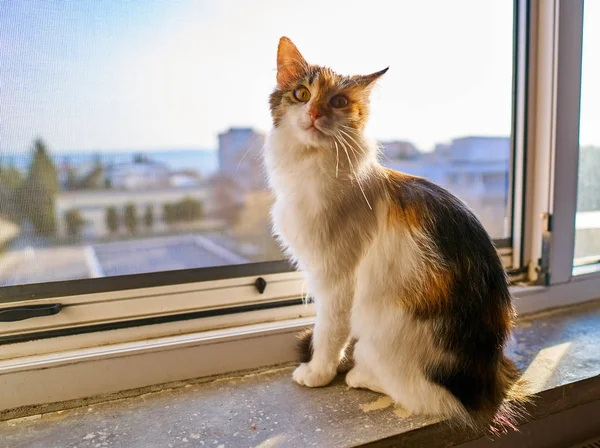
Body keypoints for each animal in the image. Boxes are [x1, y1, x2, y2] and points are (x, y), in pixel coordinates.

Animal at [264, 36, 528, 428]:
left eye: (338, 102)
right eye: (301, 94)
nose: (313, 114)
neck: (314, 168)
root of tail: (483, 377)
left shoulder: (336, 281)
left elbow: (328, 334)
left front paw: (317, 373)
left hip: (380, 326)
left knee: (414, 393)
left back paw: (358, 375)